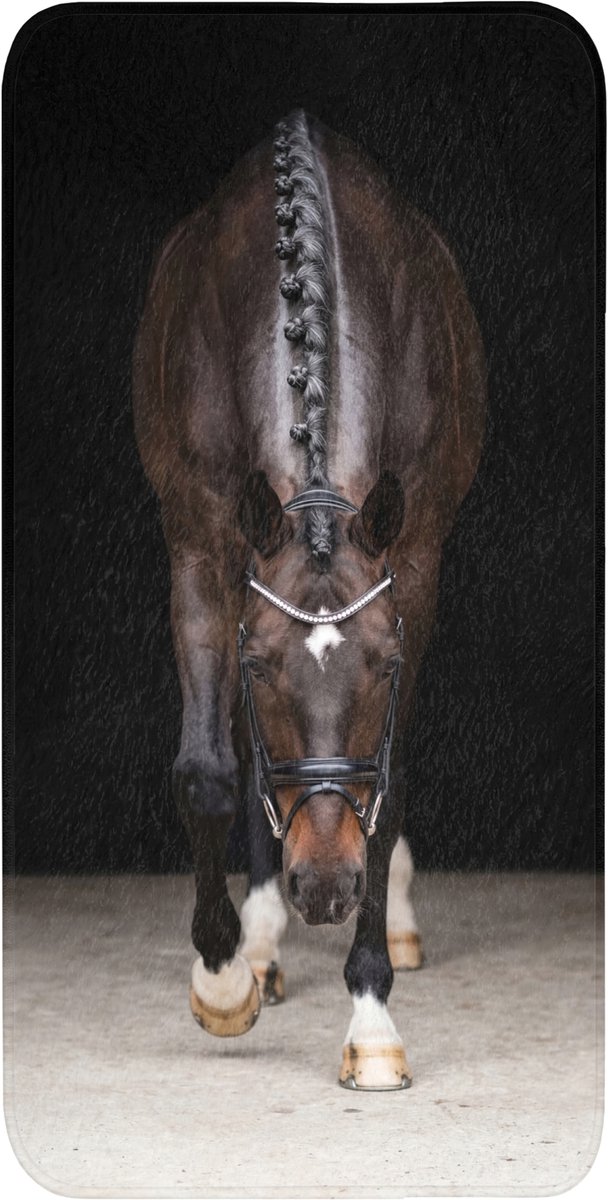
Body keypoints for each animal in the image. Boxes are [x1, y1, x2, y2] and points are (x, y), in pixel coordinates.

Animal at [133, 110, 485, 1090]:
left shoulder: (414, 565)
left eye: (386, 666)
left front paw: (371, 1018)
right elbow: (211, 769)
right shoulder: (202, 544)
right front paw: (222, 979)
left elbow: (386, 790)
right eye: (259, 668)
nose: (325, 886)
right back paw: (259, 942)